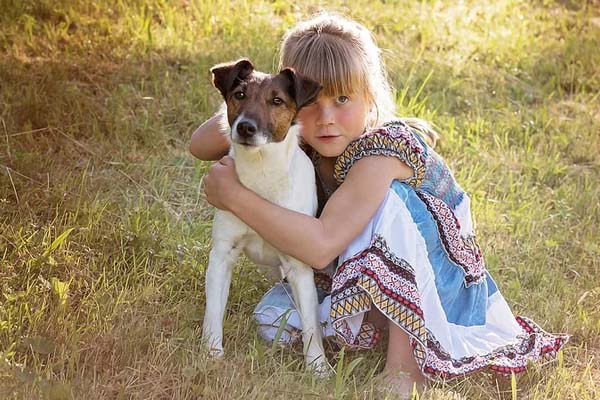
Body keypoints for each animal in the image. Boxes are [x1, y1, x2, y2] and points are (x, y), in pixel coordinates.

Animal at [204, 58, 330, 376]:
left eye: (277, 101)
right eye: (239, 95)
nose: (245, 127)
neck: (261, 176)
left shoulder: (300, 267)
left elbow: (311, 327)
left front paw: (318, 368)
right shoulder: (222, 255)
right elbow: (213, 311)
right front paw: (211, 353)